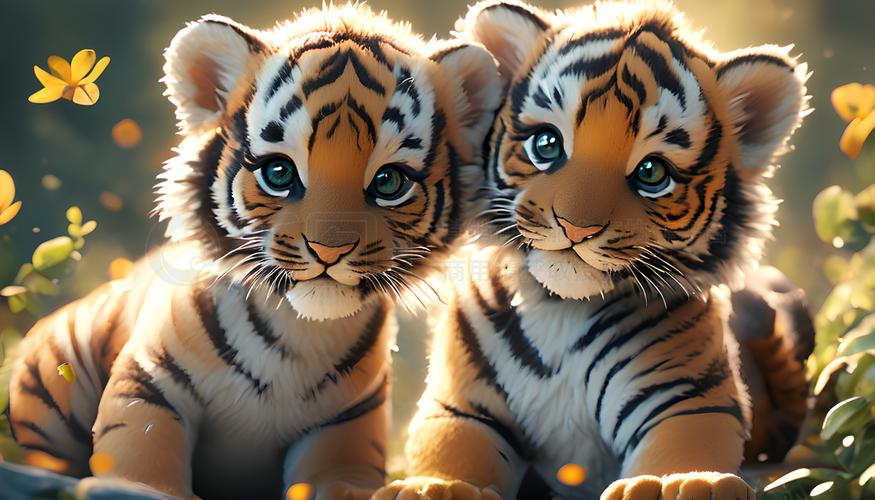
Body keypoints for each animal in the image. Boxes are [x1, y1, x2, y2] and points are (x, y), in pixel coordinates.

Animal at [6, 4, 500, 499]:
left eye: (389, 181)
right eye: (279, 172)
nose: (329, 249)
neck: (297, 337)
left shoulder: (345, 428)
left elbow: (339, 479)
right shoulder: (149, 381)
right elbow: (141, 457)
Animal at [375, 1, 813, 499]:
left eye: (651, 172)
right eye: (547, 144)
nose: (575, 226)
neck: (558, 309)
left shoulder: (683, 396)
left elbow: (683, 446)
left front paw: (675, 484)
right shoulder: (463, 404)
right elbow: (451, 449)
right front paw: (431, 487)